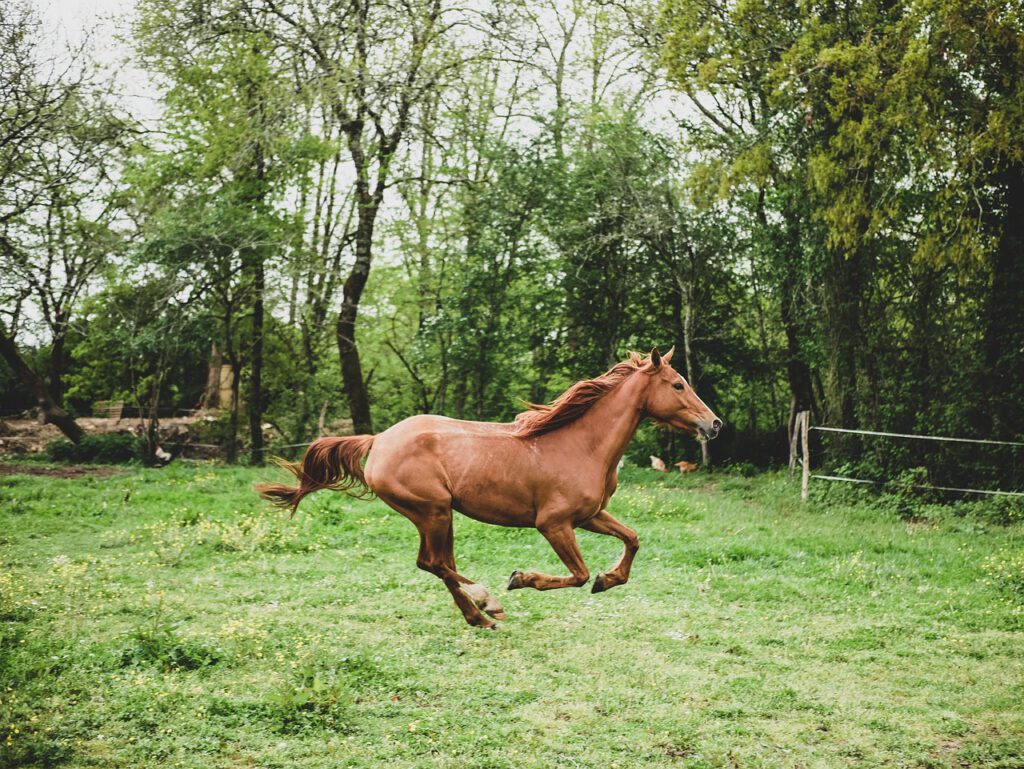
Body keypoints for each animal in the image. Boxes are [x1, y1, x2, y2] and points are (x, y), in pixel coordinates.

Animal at [254, 346, 720, 626]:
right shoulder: (554, 524)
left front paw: (609, 580)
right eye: (678, 384)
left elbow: (632, 539)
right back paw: (487, 602)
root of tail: (379, 439)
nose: (714, 424)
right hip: (433, 511)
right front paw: (522, 578)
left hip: (437, 516)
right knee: (434, 563)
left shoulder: (589, 516)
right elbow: (577, 574)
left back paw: (478, 615)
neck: (581, 445)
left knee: (436, 564)